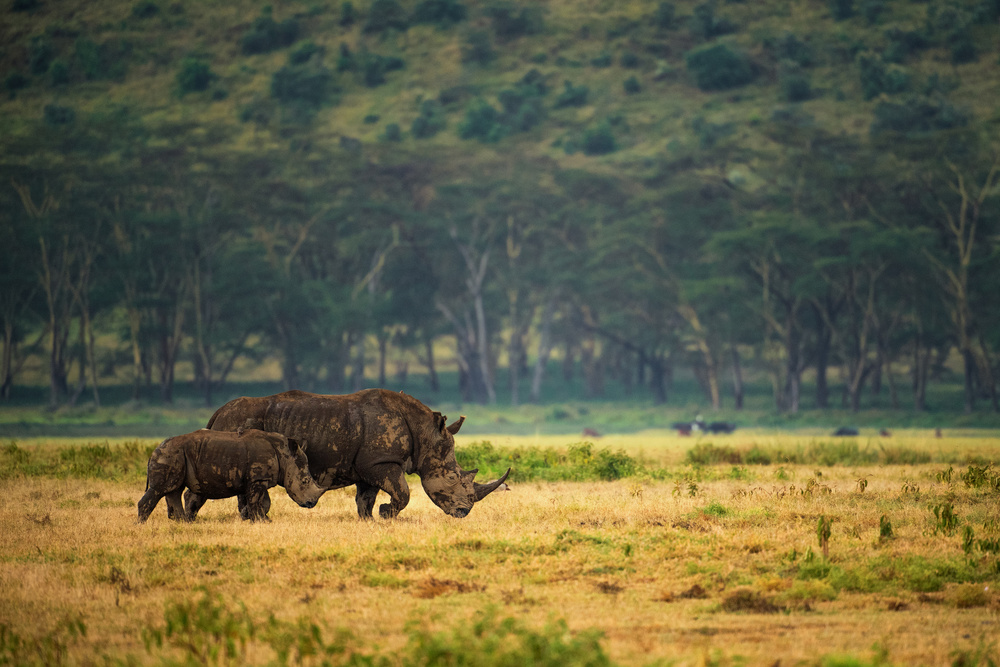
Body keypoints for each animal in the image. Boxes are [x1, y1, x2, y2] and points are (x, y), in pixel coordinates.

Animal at [135, 430, 322, 524]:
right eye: (304, 481)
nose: (311, 504)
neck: (285, 455)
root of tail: (154, 450)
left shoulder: (259, 479)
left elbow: (264, 501)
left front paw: (263, 520)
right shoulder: (258, 479)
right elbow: (257, 500)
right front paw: (259, 521)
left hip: (176, 455)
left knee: (174, 489)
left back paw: (183, 523)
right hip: (169, 455)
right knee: (160, 489)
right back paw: (141, 524)